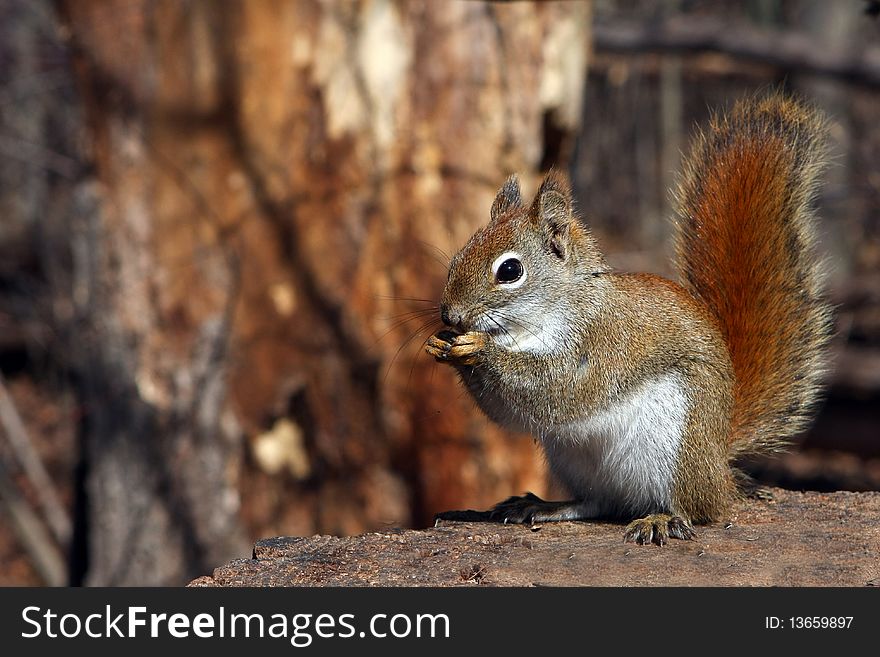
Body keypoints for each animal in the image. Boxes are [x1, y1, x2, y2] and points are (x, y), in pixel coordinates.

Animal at [426, 92, 832, 544]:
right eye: (459, 255)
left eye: (510, 271)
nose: (450, 314)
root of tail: (718, 461)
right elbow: (508, 411)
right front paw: (442, 343)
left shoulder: (598, 344)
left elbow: (550, 387)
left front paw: (477, 348)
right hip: (575, 460)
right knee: (600, 503)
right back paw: (545, 506)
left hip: (677, 446)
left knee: (699, 509)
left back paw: (664, 518)